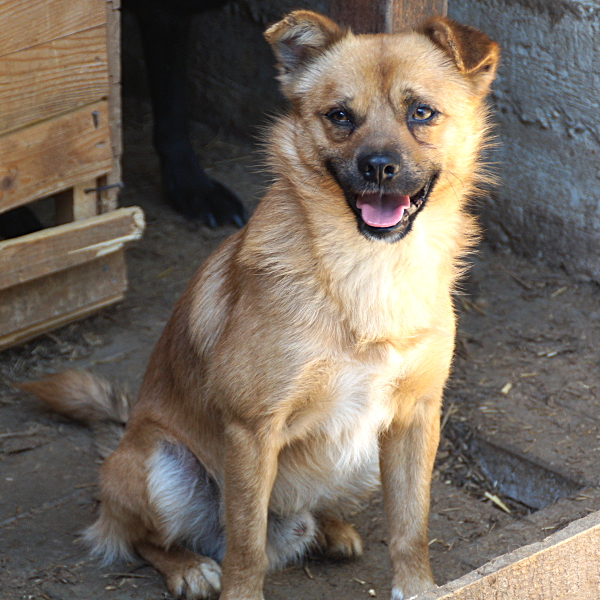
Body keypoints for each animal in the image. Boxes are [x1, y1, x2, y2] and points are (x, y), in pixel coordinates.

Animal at [23, 12, 496, 600]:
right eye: (340, 116)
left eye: (421, 112)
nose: (378, 167)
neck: (367, 267)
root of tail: (127, 429)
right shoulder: (252, 431)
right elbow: (244, 546)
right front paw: (234, 586)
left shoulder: (415, 417)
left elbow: (412, 524)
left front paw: (417, 586)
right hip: (161, 465)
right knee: (140, 536)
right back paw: (189, 567)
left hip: (363, 456)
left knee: (311, 513)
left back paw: (331, 531)